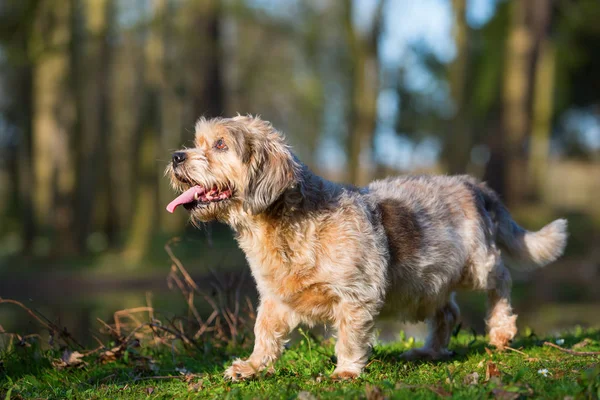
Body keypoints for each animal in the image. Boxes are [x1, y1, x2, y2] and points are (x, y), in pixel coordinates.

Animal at [165, 115, 568, 382]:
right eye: (198, 142)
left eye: (220, 145)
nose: (176, 156)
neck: (286, 225)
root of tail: (472, 184)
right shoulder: (275, 299)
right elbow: (264, 334)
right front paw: (251, 366)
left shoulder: (355, 296)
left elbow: (349, 336)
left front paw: (345, 371)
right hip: (429, 285)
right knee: (448, 312)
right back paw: (430, 350)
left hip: (478, 266)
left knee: (502, 279)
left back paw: (501, 331)